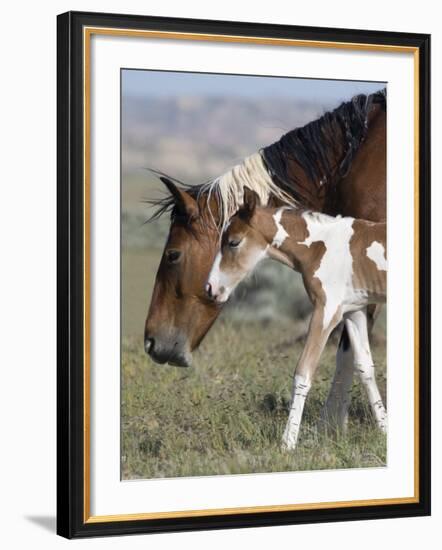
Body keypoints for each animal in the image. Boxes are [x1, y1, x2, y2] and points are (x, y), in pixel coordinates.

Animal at [205, 190, 386, 452]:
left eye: (234, 242)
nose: (210, 289)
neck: (321, 247)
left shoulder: (326, 310)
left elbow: (303, 372)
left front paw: (287, 443)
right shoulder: (354, 311)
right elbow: (365, 368)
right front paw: (385, 431)